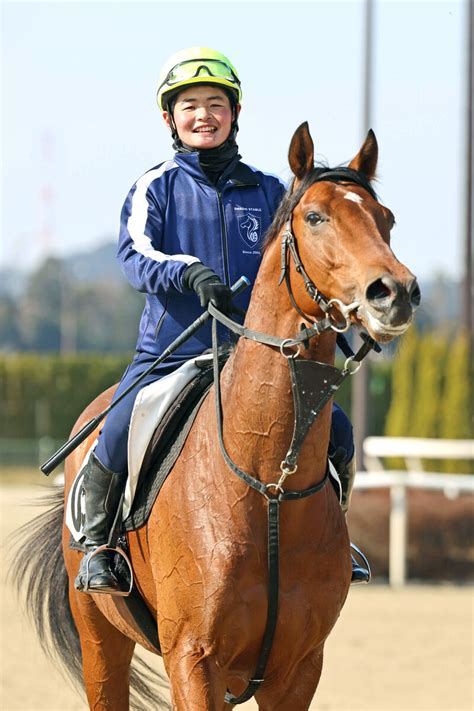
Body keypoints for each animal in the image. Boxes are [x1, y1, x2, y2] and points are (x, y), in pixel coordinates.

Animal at [15, 124, 418, 711]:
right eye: (315, 217)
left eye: (385, 218)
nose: (395, 293)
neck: (268, 486)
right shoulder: (193, 660)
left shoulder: (297, 670)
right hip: (100, 637)